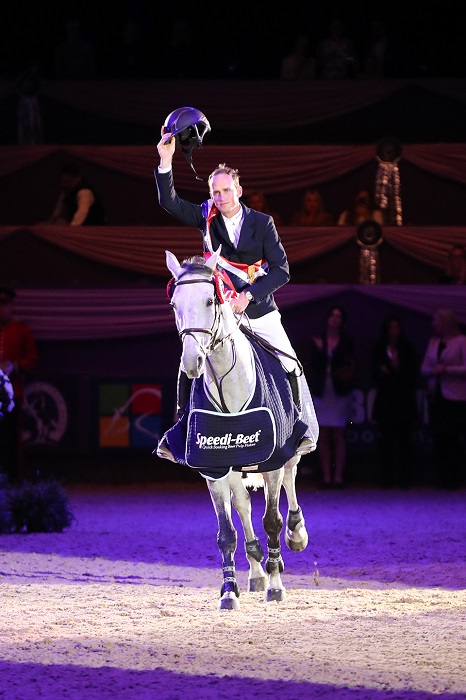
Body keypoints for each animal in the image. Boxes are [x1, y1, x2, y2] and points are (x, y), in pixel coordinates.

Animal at [158, 250, 318, 608]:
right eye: (174, 304)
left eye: (209, 300)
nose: (192, 362)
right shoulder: (213, 467)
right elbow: (226, 533)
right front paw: (229, 590)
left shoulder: (273, 460)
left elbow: (272, 520)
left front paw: (276, 586)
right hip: (233, 467)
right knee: (243, 504)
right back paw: (256, 570)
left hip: (292, 447)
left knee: (291, 477)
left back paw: (295, 534)